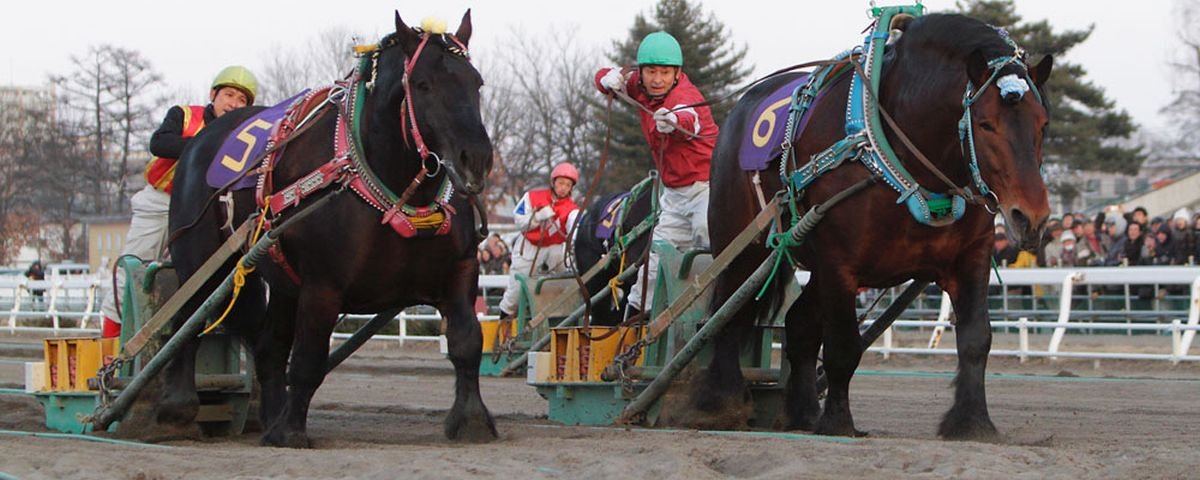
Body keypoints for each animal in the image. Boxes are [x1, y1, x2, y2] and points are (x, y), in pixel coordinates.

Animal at [163, 11, 492, 446]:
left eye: (476, 82)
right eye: (423, 84)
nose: (477, 159)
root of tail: (201, 141)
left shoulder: (460, 269)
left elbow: (467, 341)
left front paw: (472, 419)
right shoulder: (322, 284)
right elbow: (307, 359)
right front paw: (290, 431)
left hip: (281, 279)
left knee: (268, 348)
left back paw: (270, 415)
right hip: (197, 259)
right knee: (186, 319)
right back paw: (179, 407)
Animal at [700, 12, 1051, 439]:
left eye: (1042, 123)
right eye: (985, 124)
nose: (1029, 216)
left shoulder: (972, 257)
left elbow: (975, 339)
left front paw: (972, 421)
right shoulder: (840, 263)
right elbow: (842, 346)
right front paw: (838, 421)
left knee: (799, 325)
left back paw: (802, 411)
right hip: (740, 244)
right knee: (728, 316)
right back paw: (721, 403)